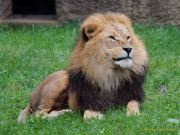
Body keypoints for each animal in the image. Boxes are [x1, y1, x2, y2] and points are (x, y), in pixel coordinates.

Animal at [17, 12, 148, 123]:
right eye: (112, 37)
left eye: (128, 37)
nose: (129, 49)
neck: (111, 74)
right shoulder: (90, 101)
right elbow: (88, 115)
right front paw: (96, 117)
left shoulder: (134, 96)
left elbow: (132, 106)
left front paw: (134, 116)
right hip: (60, 80)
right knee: (38, 115)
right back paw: (63, 113)